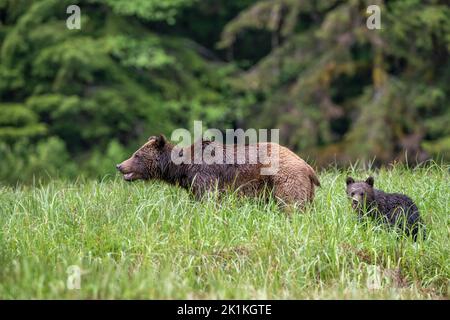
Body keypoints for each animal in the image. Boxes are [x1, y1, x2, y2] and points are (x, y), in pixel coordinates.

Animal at [116, 134, 320, 209]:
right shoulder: (193, 183)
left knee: (291, 205)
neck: (183, 168)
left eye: (136, 155)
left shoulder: (205, 175)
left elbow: (207, 199)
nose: (119, 165)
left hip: (284, 180)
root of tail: (308, 167)